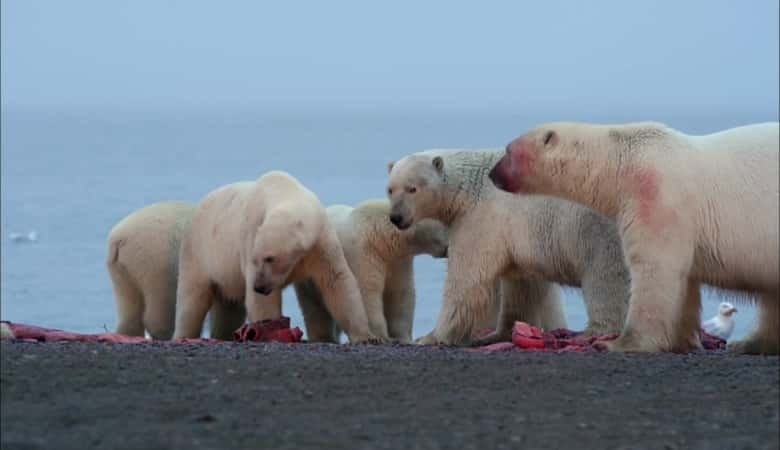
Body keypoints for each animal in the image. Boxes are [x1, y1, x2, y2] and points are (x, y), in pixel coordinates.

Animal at [171, 171, 378, 342]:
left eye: (270, 258)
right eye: (255, 259)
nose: (259, 287)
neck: (285, 192)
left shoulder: (320, 241)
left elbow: (336, 280)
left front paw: (367, 336)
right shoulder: (250, 235)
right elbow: (262, 302)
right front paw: (267, 330)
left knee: (228, 306)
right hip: (199, 250)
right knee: (192, 299)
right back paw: (183, 335)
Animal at [296, 199, 448, 342]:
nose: (449, 250)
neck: (380, 237)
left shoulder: (398, 261)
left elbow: (400, 293)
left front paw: (402, 337)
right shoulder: (362, 254)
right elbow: (366, 292)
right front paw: (381, 336)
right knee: (315, 307)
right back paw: (324, 337)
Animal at [386, 149, 632, 346]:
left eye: (412, 188)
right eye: (390, 189)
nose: (396, 217)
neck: (471, 185)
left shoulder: (481, 219)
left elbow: (466, 281)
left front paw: (431, 337)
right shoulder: (520, 236)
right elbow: (523, 285)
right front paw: (500, 333)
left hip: (598, 232)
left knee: (606, 281)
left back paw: (595, 332)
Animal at [494, 121, 780, 354]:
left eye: (508, 150)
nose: (492, 174)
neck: (624, 163)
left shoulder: (655, 196)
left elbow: (654, 270)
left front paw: (617, 343)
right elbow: (684, 282)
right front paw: (681, 341)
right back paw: (752, 344)